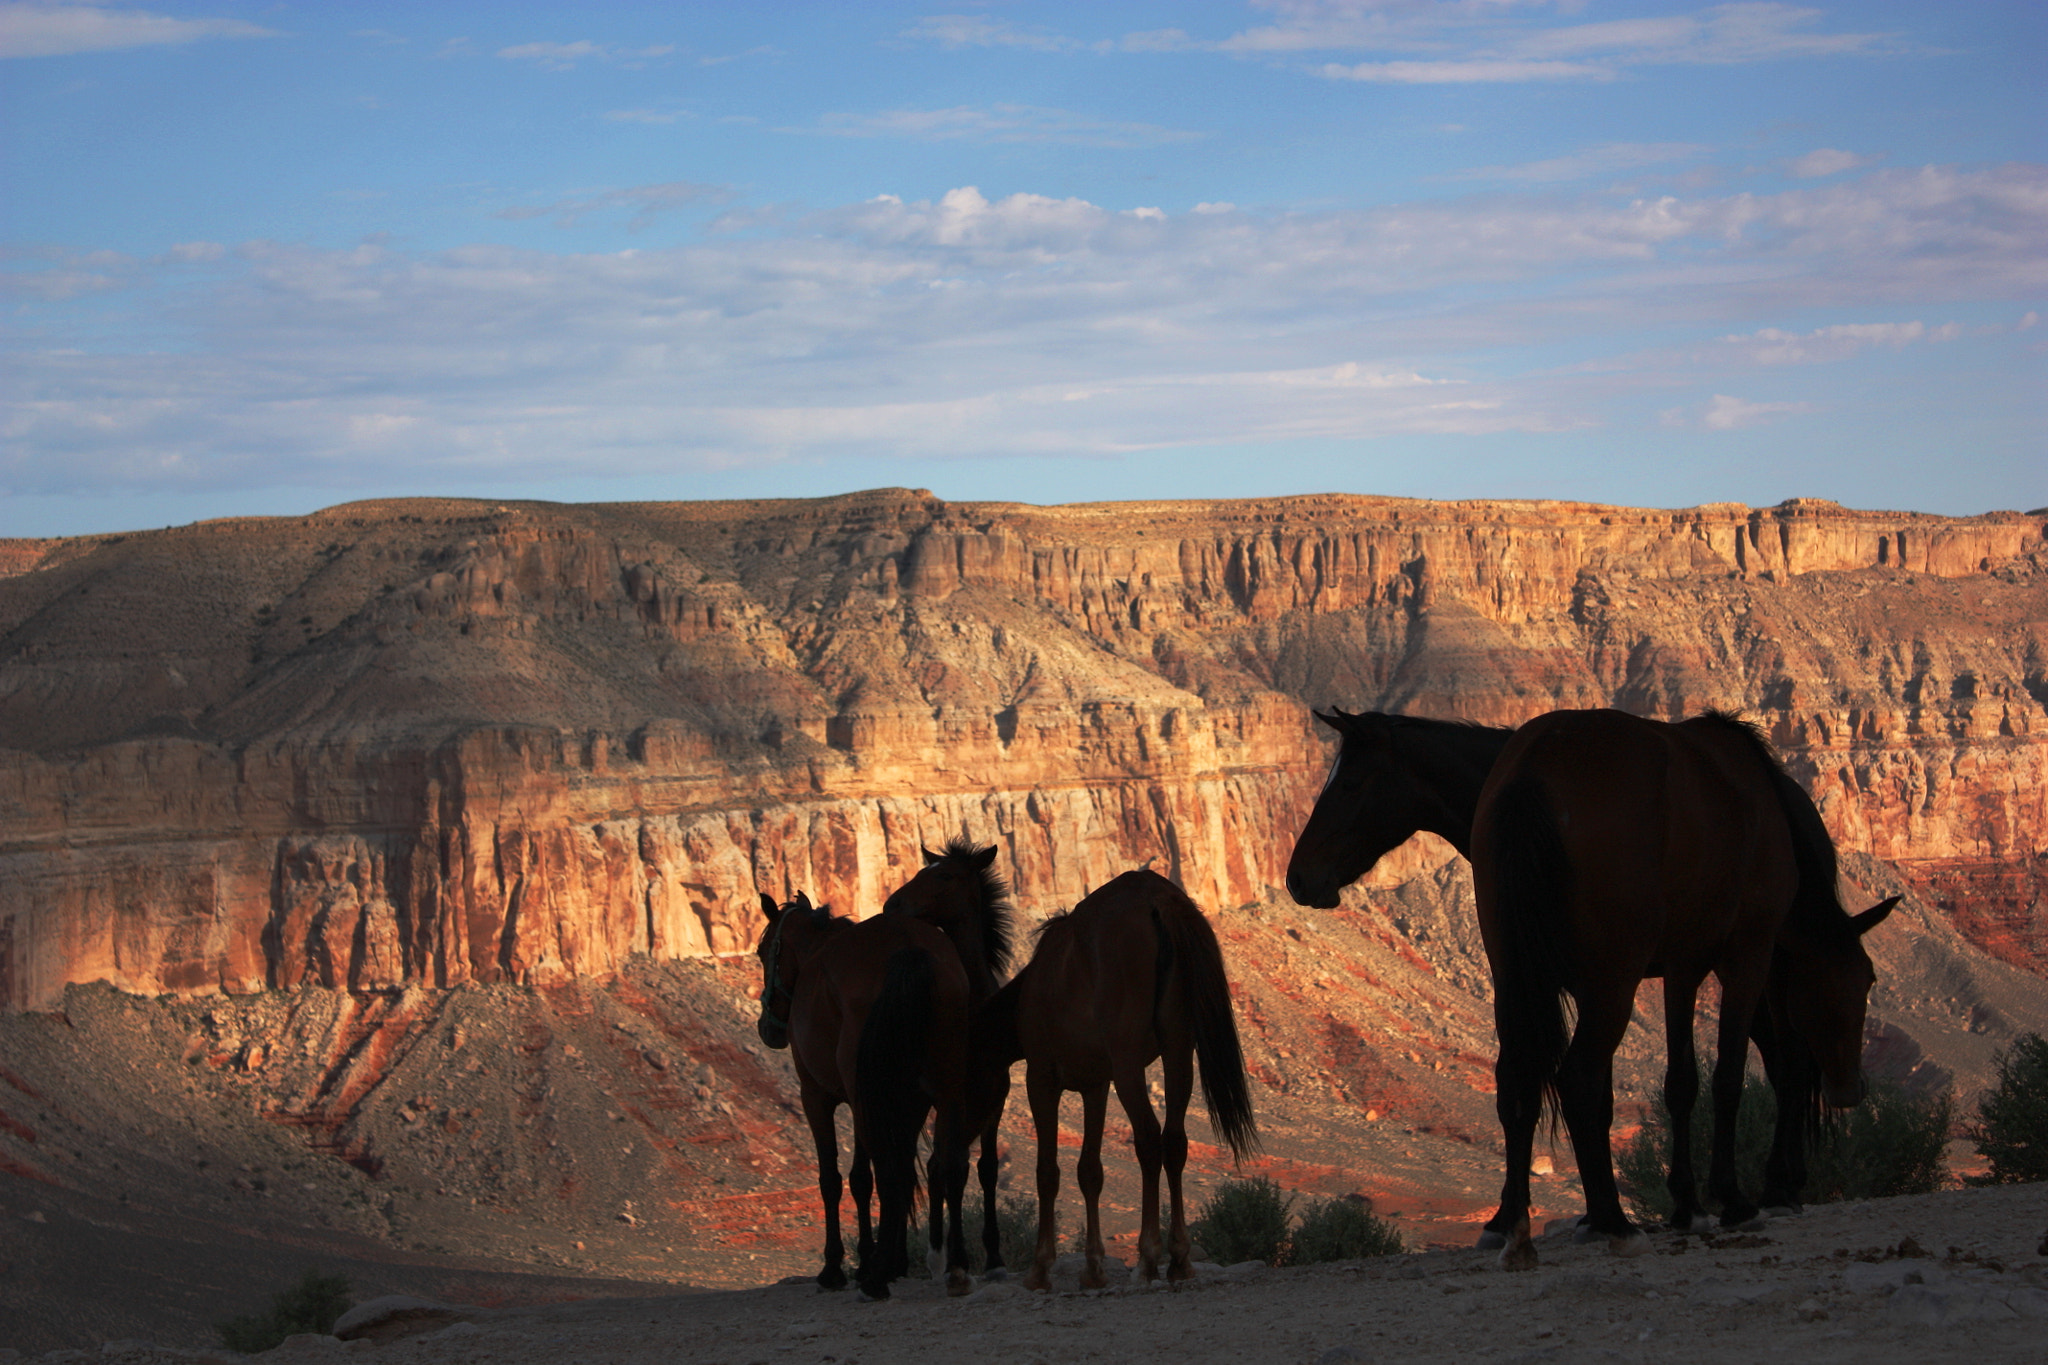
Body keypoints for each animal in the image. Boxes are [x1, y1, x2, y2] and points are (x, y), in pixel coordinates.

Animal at [753, 892, 974, 1301]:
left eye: (763, 951)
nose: (768, 1028)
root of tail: (908, 947)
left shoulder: (819, 1097)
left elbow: (834, 1179)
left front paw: (836, 1268)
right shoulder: (893, 1103)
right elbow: (866, 1178)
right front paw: (871, 1260)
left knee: (889, 1173)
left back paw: (877, 1279)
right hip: (945, 1090)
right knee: (947, 1166)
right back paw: (956, 1268)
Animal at [970, 875, 1245, 1293]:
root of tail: (1157, 897)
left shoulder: (1041, 1079)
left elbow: (1047, 1171)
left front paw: (1040, 1269)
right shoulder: (1095, 1086)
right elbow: (1090, 1171)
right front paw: (1093, 1269)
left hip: (1129, 1063)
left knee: (1148, 1139)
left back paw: (1148, 1259)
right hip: (1178, 1051)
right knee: (1174, 1141)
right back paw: (1179, 1260)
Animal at [1474, 716, 1884, 1268]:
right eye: (1862, 981)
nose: (1849, 1089)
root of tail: (1532, 768)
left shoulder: (1683, 967)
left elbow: (1681, 1083)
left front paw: (1688, 1204)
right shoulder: (1750, 955)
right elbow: (1735, 1075)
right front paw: (1737, 1198)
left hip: (1515, 977)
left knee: (1517, 1078)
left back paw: (1517, 1229)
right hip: (1612, 984)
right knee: (1577, 1077)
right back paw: (1615, 1223)